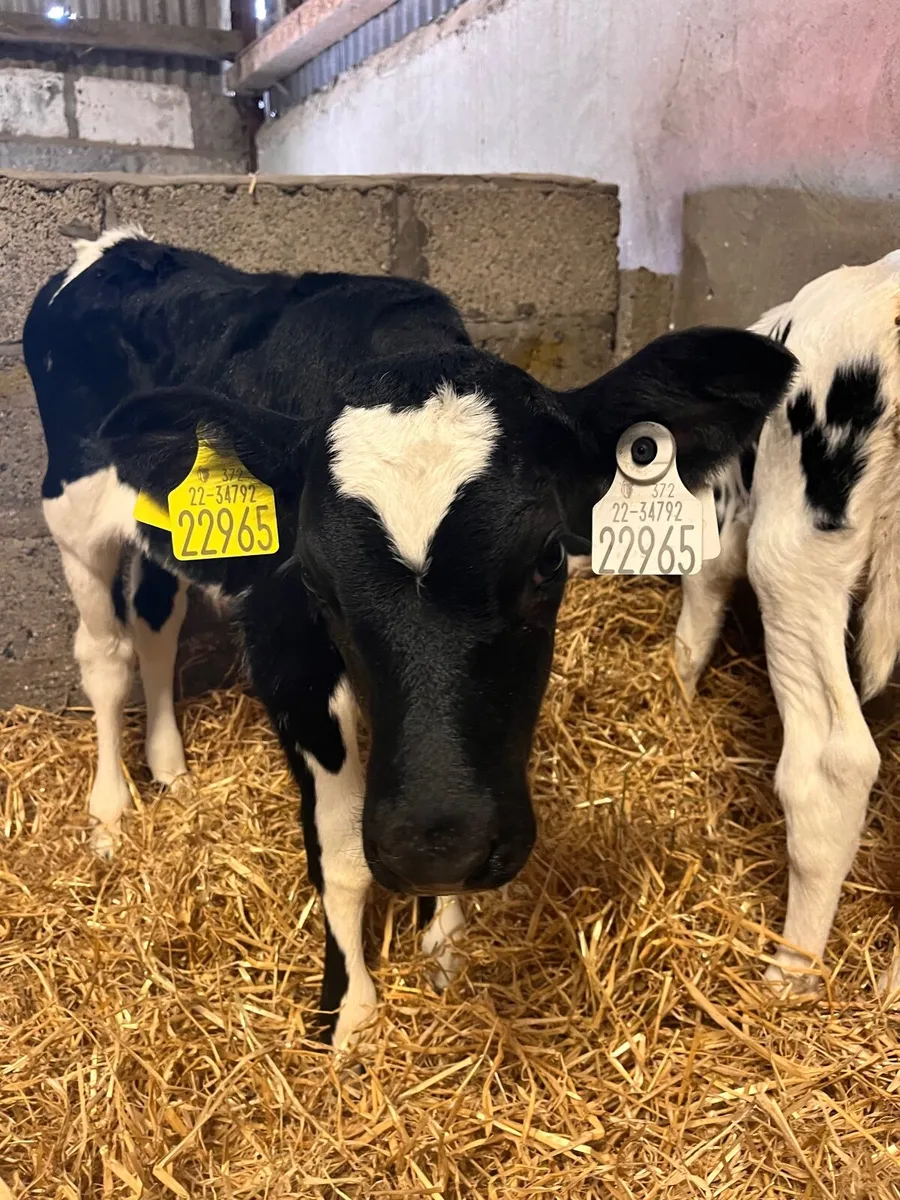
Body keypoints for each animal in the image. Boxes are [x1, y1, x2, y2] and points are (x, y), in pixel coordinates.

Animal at [24, 227, 794, 1047]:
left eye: (549, 558)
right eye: (315, 580)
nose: (440, 844)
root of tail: (116, 245)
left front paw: (444, 942)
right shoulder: (287, 653)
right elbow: (339, 849)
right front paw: (348, 1013)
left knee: (156, 616)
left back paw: (170, 770)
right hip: (72, 515)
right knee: (105, 656)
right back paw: (111, 812)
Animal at [674, 250, 900, 999]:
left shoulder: (723, 517)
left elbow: (698, 610)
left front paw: (677, 695)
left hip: (793, 554)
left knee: (832, 764)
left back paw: (789, 972)